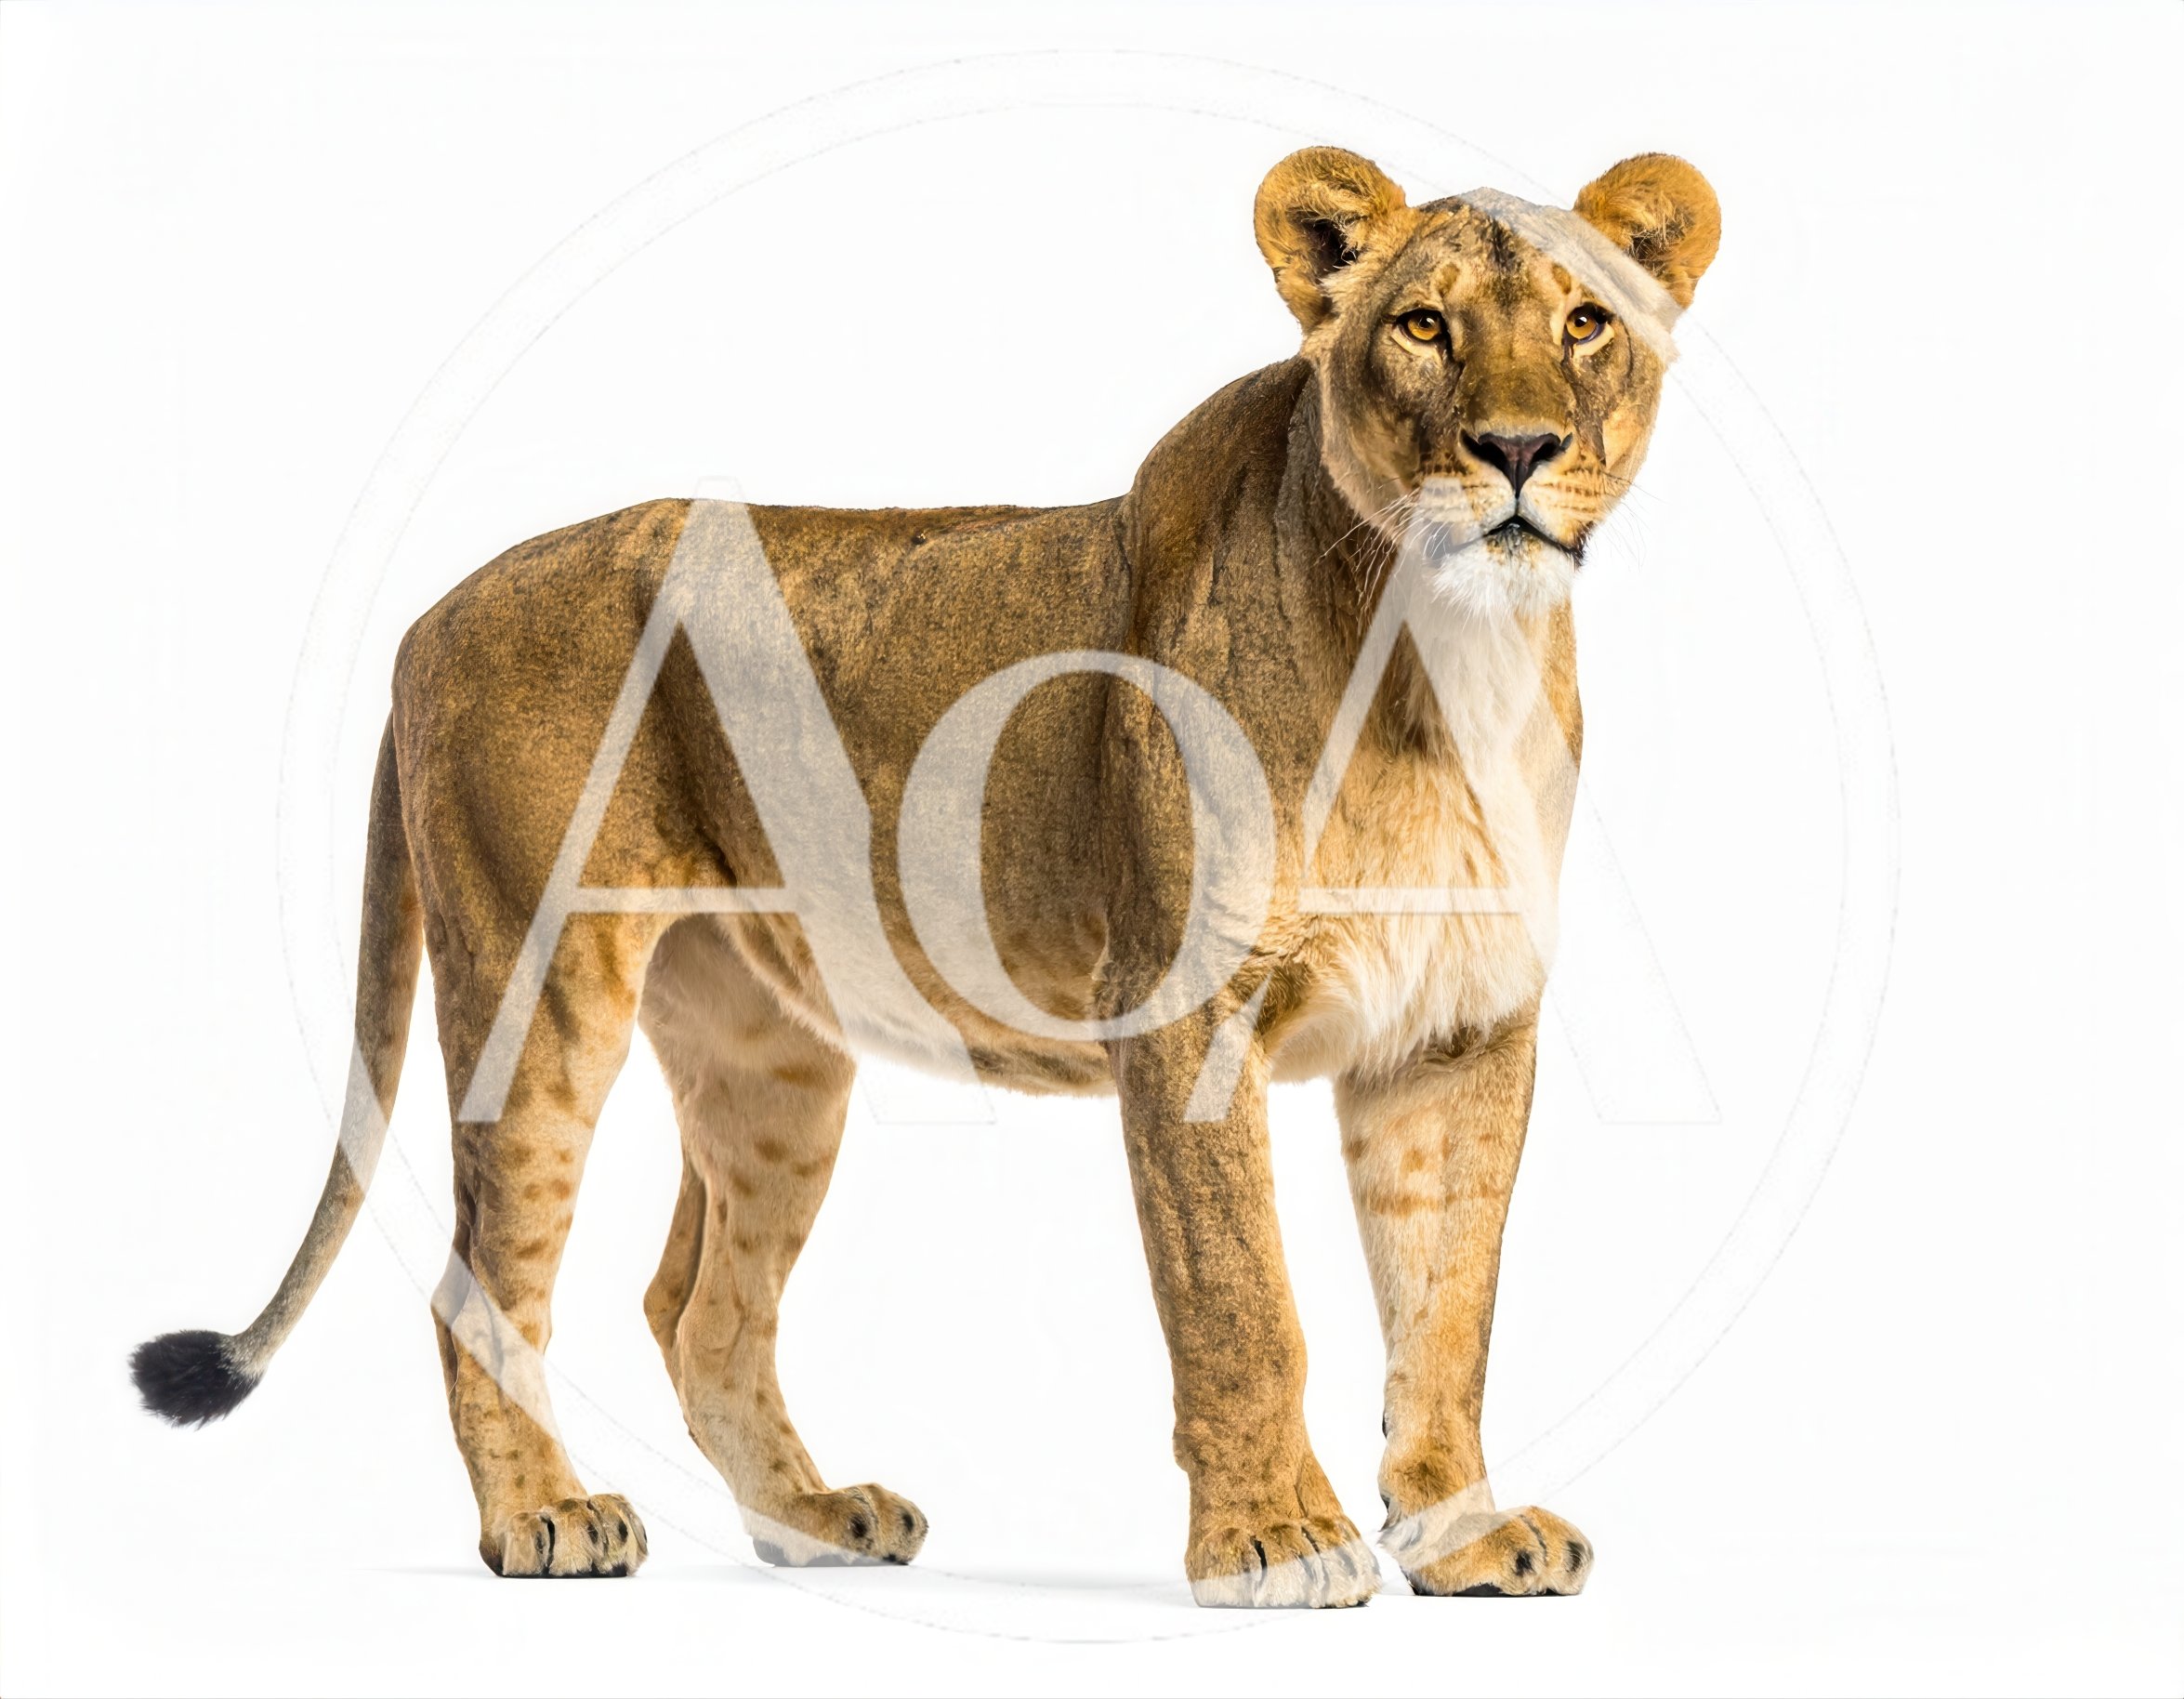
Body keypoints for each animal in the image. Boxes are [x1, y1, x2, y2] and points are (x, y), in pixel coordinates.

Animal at [132, 146, 1719, 1607]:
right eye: (1422, 327)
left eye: (1584, 321)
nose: (1515, 448)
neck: (1441, 665)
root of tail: (433, 606)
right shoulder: (1185, 1012)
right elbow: (1241, 1300)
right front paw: (1274, 1539)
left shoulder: (1460, 1030)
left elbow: (1448, 1311)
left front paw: (1462, 1537)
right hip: (537, 987)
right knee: (483, 1276)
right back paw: (546, 1518)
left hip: (771, 1055)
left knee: (698, 1308)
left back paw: (815, 1519)